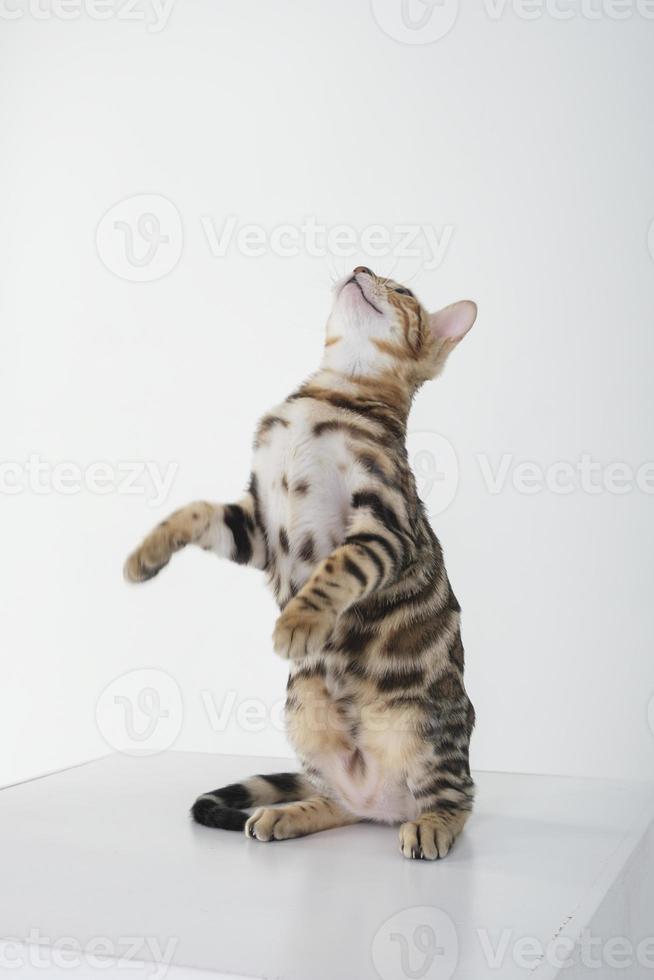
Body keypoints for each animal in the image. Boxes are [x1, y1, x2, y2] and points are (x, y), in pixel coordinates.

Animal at [125, 266, 480, 856]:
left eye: (403, 292)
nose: (361, 269)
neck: (329, 395)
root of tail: (384, 803)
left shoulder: (384, 526)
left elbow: (337, 569)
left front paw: (299, 622)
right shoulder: (258, 526)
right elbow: (196, 512)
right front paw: (146, 553)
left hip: (422, 729)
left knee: (459, 797)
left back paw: (432, 825)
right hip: (304, 713)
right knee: (339, 801)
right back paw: (287, 813)